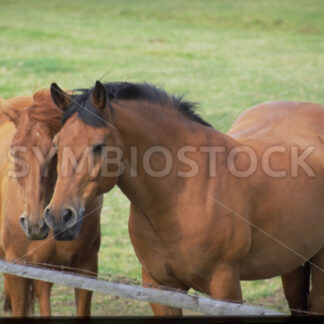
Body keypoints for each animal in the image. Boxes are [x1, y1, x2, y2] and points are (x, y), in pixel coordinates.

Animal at [45, 79, 322, 316]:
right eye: (57, 143)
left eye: (99, 146)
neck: (182, 193)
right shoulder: (159, 287)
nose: (59, 216)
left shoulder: (225, 289)